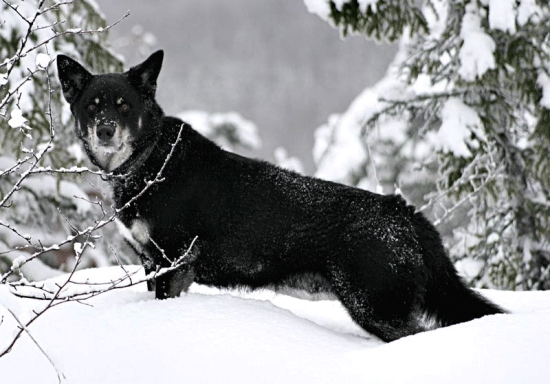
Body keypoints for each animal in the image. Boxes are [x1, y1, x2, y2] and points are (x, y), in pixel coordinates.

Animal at [58, 51, 506, 342]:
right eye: (93, 105)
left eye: (123, 105)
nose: (105, 130)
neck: (151, 163)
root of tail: (403, 212)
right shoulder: (152, 263)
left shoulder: (176, 264)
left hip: (375, 307)